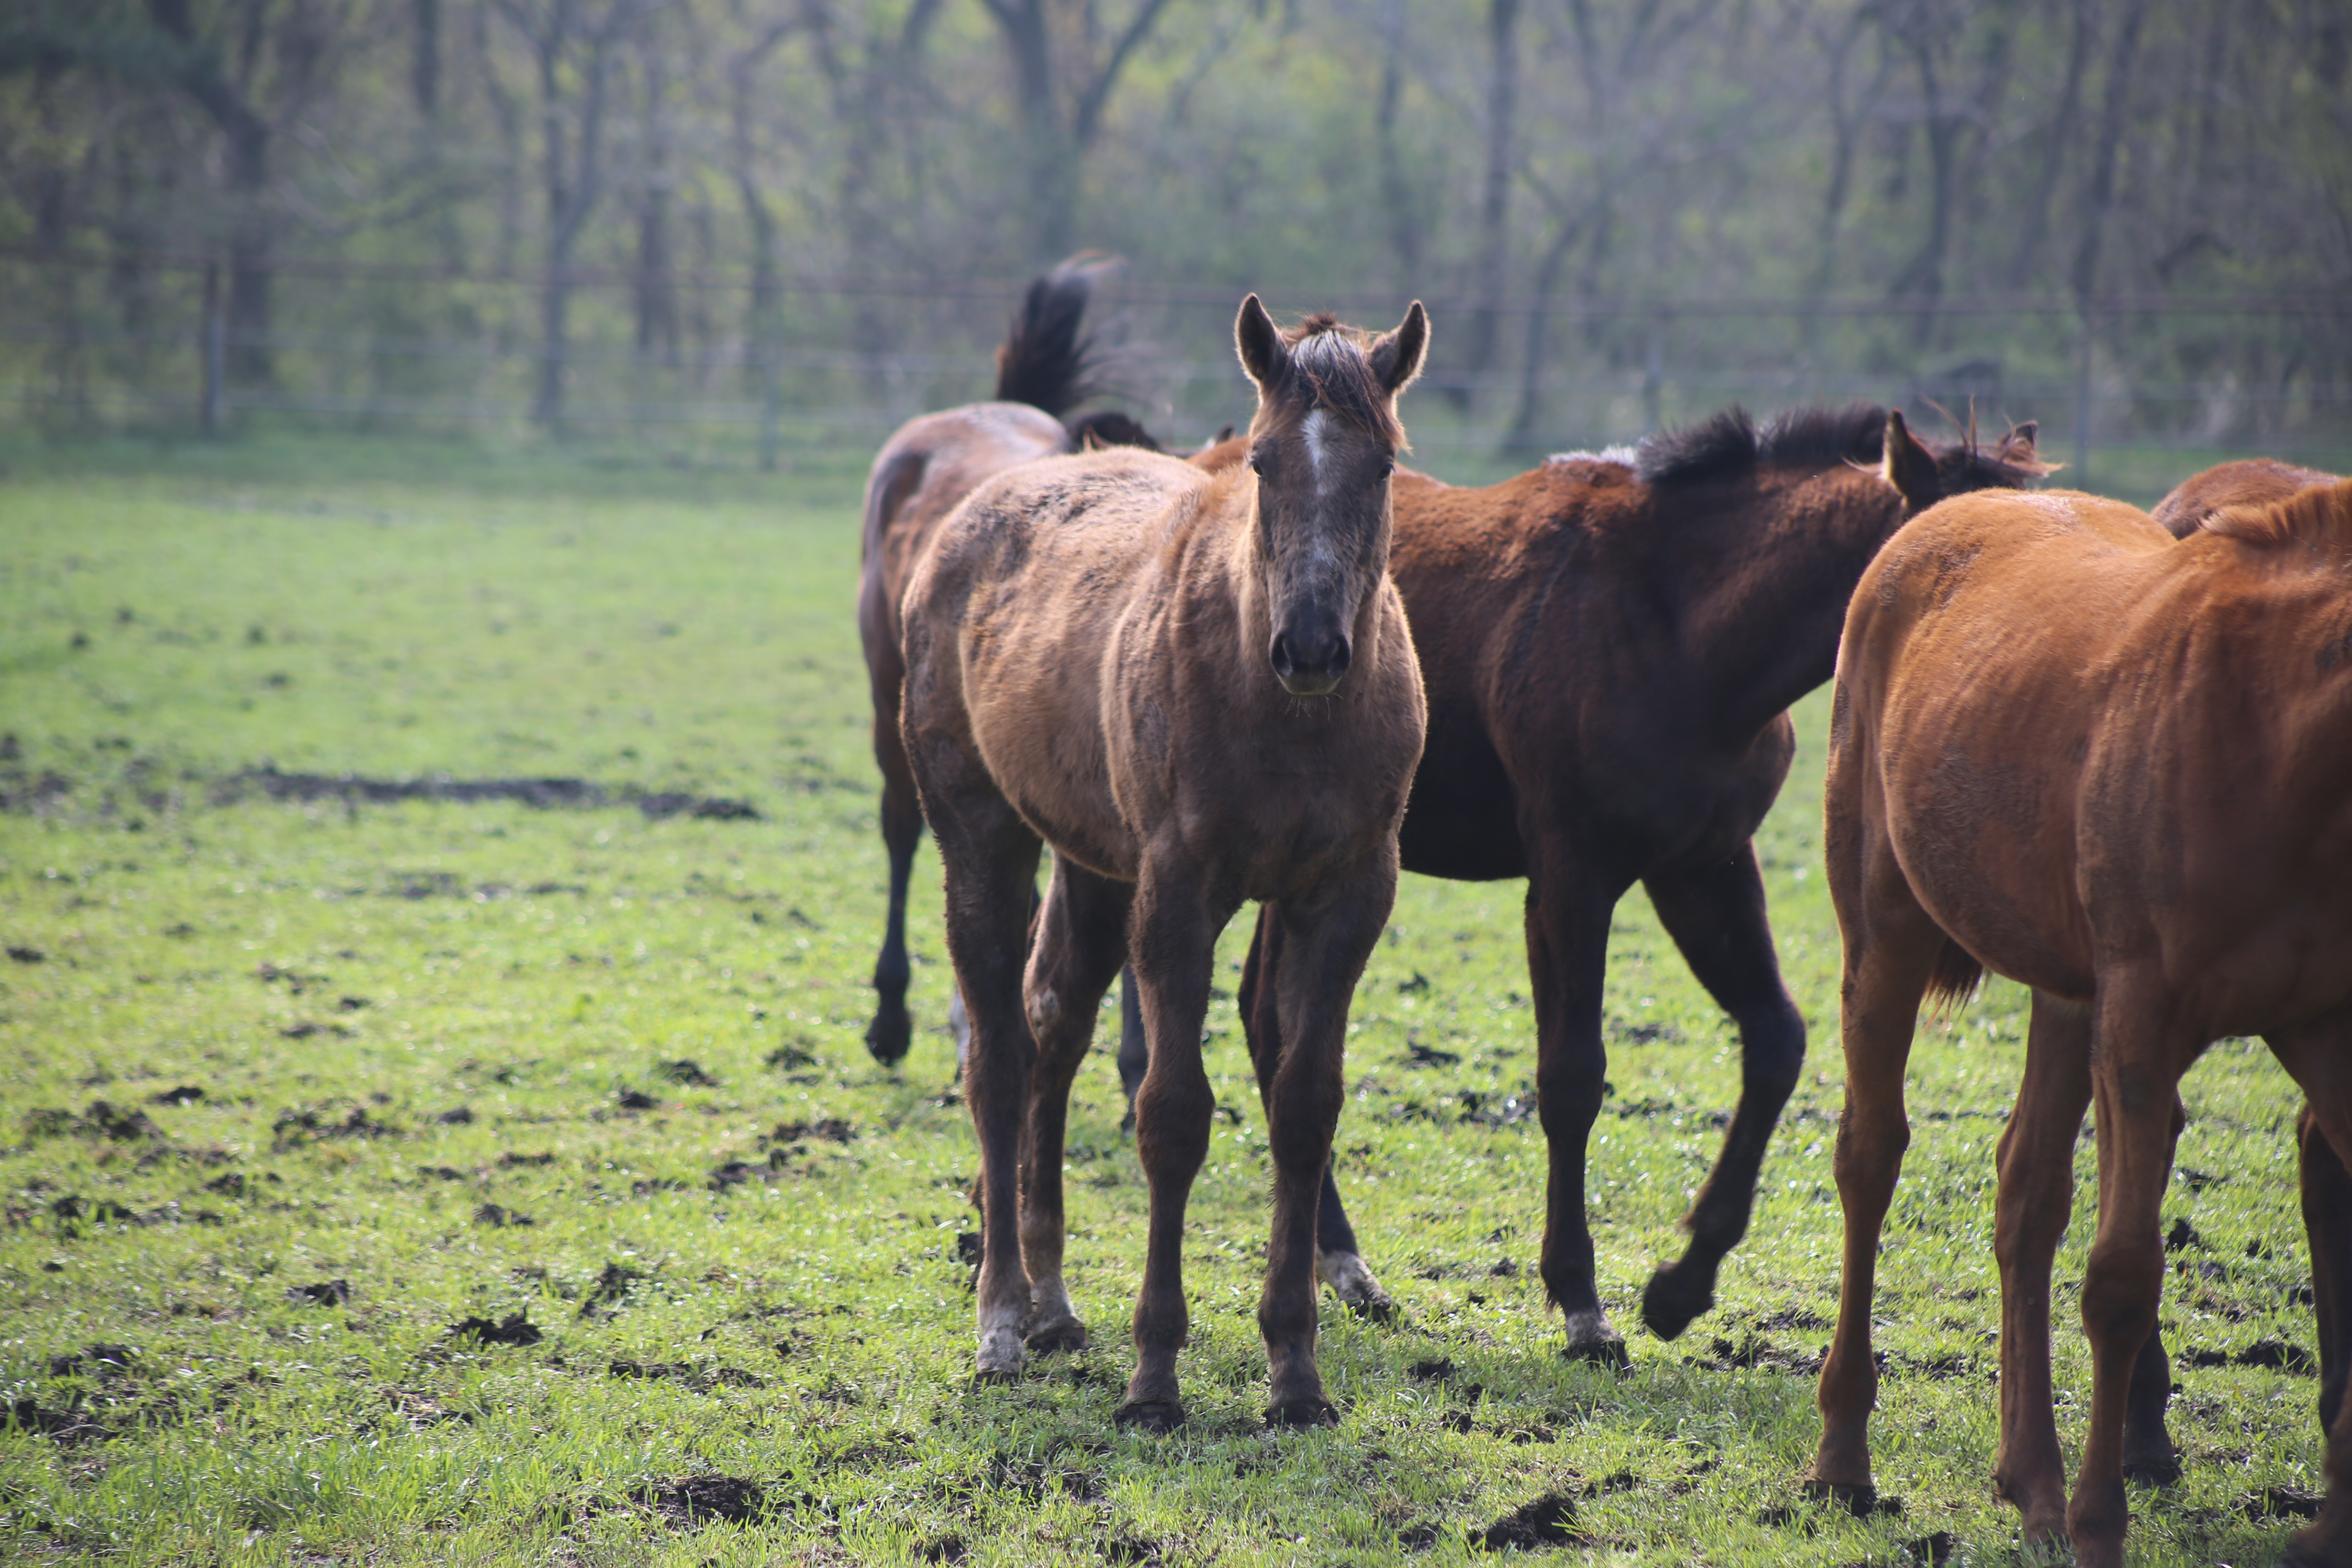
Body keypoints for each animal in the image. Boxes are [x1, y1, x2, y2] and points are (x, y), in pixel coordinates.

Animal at [898, 297, 1430, 1439]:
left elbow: (1304, 1107)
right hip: (982, 836)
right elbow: (1173, 1115)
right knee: (998, 1055)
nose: (1310, 646)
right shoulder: (1180, 896)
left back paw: (1053, 1301)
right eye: (1265, 463)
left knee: (1052, 1024)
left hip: (1095, 867)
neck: (1286, 717)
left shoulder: (1345, 896)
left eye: (1381, 467)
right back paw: (1001, 1320)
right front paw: (1155, 1375)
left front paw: (1295, 1371)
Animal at [1134, 409, 2041, 1363]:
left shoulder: (1704, 866)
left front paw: (1683, 1283)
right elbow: (1572, 1075)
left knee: (1269, 1023)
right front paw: (1580, 1299)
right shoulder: (1573, 876)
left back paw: (1338, 1261)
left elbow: (1776, 1038)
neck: (1682, 628)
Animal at [1806, 479, 2352, 1568]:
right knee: (1869, 1156)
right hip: (1886, 930)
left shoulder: (2328, 1027)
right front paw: (2104, 1520)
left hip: (2068, 995)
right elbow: (2121, 1277)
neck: (2271, 730)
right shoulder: (2143, 1023)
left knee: (2026, 1191)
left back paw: (2031, 1481)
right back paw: (1845, 1455)